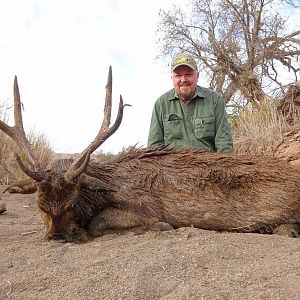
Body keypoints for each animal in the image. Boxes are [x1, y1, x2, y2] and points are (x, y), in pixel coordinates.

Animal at [0, 68, 300, 241]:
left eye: (72, 202)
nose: (57, 237)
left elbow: (99, 223)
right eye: (41, 206)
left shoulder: (144, 206)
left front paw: (162, 227)